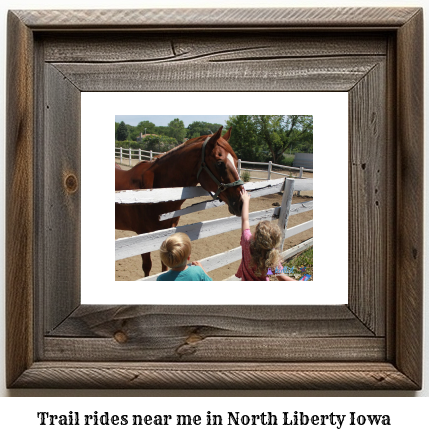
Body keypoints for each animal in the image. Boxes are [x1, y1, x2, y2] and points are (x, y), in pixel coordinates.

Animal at [115, 126, 242, 276]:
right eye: (220, 163)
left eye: (236, 162)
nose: (241, 202)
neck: (154, 192)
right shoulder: (142, 235)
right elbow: (147, 266)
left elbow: (164, 265)